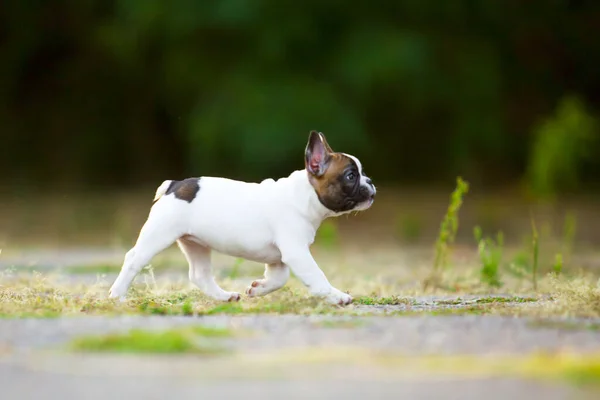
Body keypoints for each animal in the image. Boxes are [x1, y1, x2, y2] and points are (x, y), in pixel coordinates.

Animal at [109, 130, 376, 304]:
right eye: (351, 176)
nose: (370, 181)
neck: (305, 195)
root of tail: (174, 184)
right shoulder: (296, 252)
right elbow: (316, 275)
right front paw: (336, 296)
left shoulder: (281, 257)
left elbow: (279, 278)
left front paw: (258, 289)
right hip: (159, 234)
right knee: (133, 260)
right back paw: (117, 295)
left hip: (195, 243)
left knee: (199, 274)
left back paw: (224, 296)